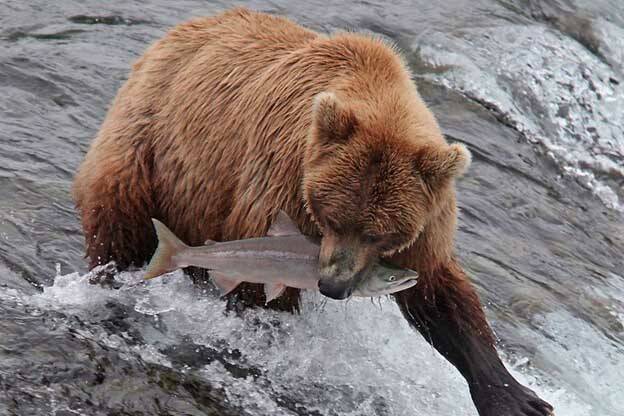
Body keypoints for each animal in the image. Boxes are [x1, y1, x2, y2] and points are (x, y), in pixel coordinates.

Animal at [74, 7, 556, 416]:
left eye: (380, 234)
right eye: (331, 217)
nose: (333, 286)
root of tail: (183, 28)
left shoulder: (426, 222)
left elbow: (439, 295)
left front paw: (518, 399)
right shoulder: (281, 179)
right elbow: (262, 288)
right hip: (148, 147)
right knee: (119, 224)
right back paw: (111, 283)